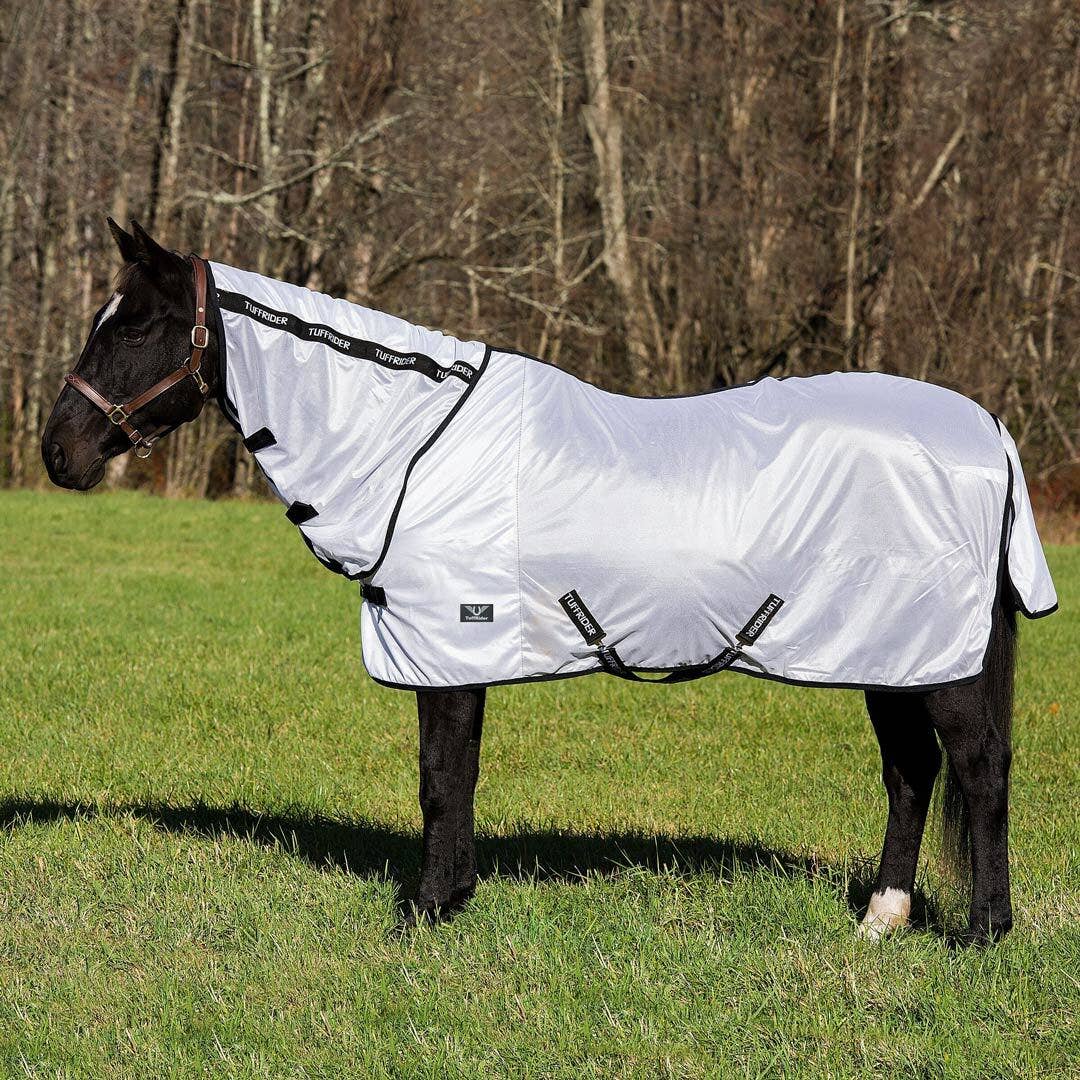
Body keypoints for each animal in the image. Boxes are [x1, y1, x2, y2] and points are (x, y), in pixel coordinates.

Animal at [41, 219, 1057, 943]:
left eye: (137, 324)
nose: (59, 453)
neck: (414, 445)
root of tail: (989, 432)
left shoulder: (449, 645)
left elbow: (440, 777)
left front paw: (425, 912)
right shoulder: (459, 653)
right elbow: (458, 774)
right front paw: (452, 897)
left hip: (937, 661)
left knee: (979, 767)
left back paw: (983, 932)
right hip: (889, 652)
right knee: (911, 771)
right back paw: (881, 921)